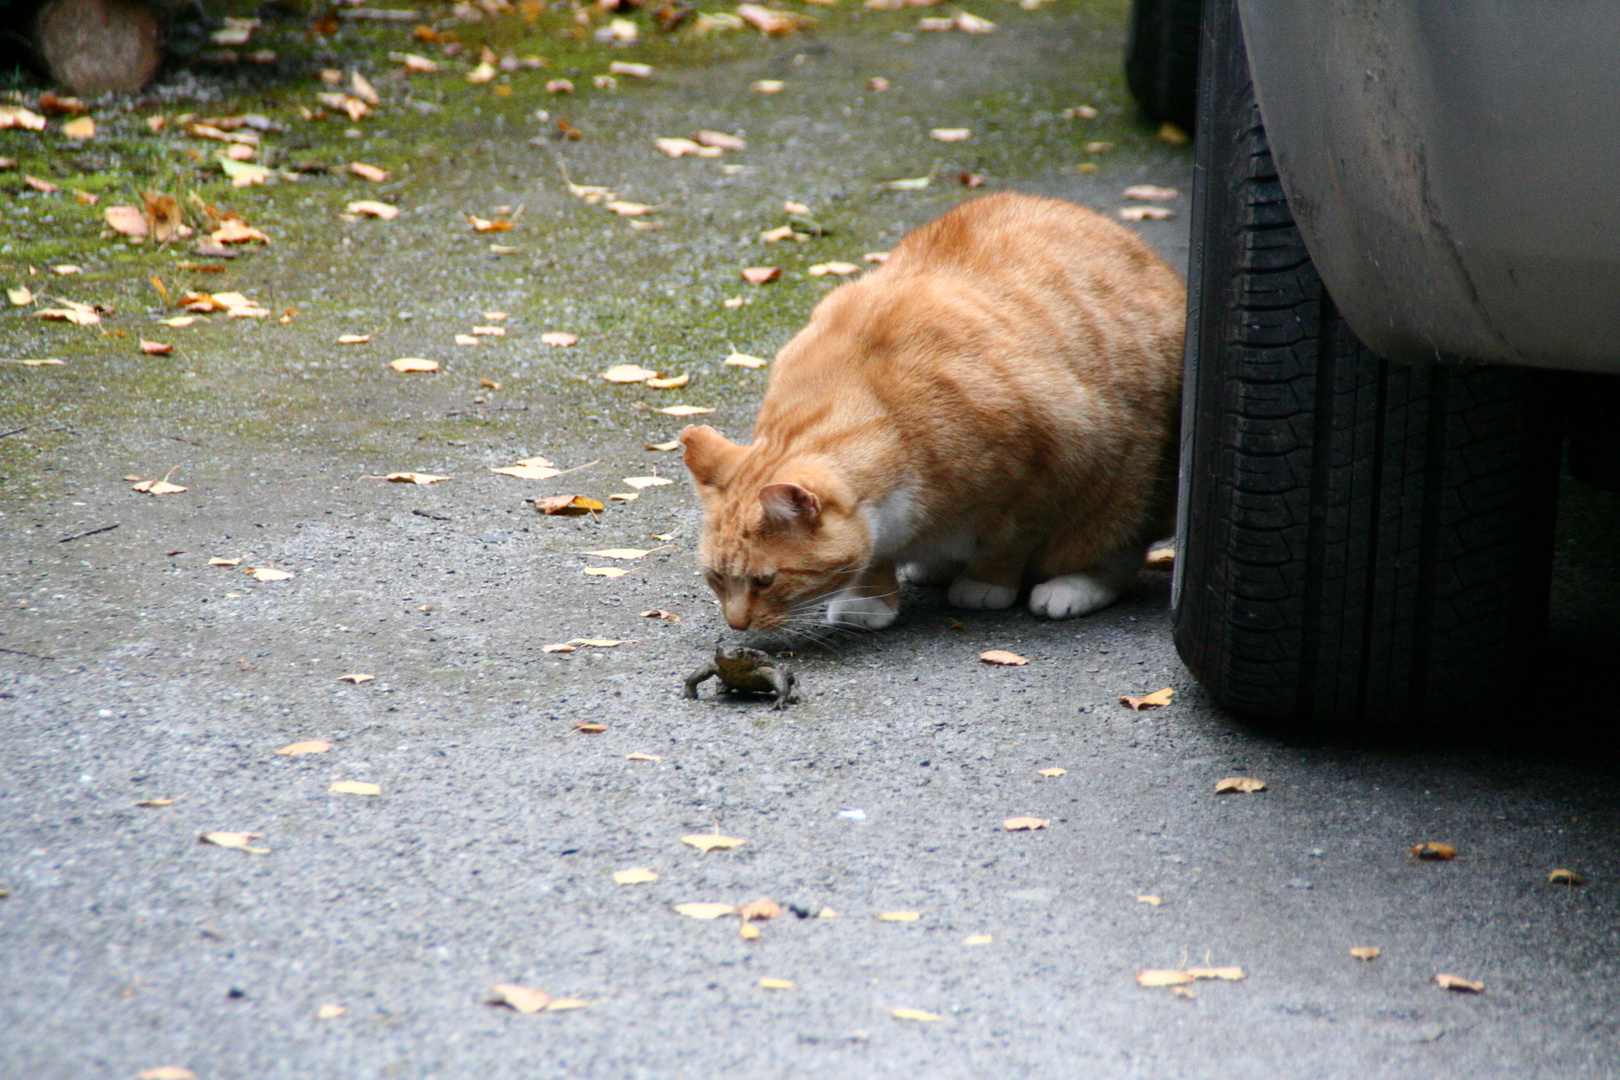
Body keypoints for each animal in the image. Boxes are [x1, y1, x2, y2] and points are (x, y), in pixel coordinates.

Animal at [677, 193, 1185, 634]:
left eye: (765, 581)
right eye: (716, 579)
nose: (735, 624)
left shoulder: (1048, 467)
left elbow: (1008, 540)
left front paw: (985, 583)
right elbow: (874, 553)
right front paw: (870, 597)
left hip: (1134, 485)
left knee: (1117, 552)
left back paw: (1068, 586)